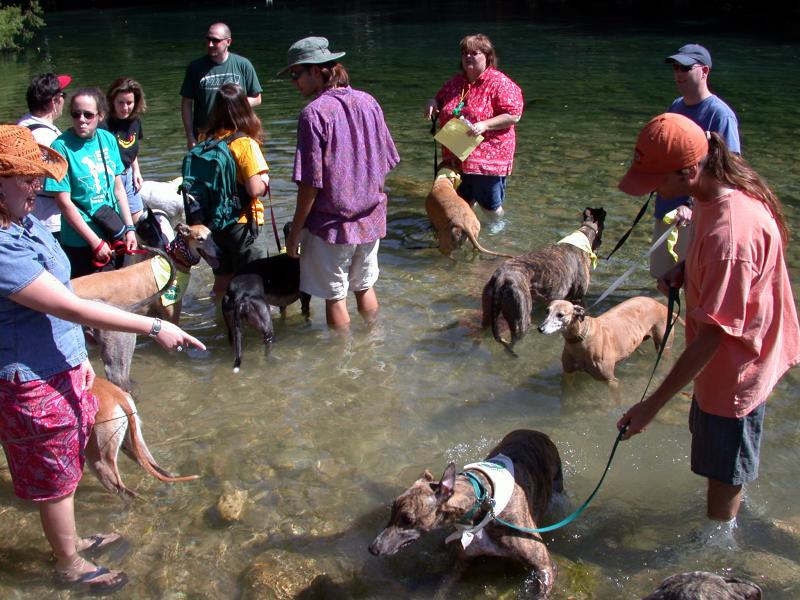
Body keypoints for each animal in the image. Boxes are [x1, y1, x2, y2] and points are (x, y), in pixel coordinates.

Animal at [370, 428, 564, 596]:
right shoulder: (459, 564)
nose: (373, 548)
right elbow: (441, 589)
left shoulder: (546, 567)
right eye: (392, 510)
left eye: (408, 519)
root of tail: (534, 431)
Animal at [536, 298, 676, 386]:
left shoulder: (611, 380)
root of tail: (661, 305)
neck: (581, 340)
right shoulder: (568, 374)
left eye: (560, 315)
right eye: (547, 311)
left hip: (664, 346)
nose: (540, 328)